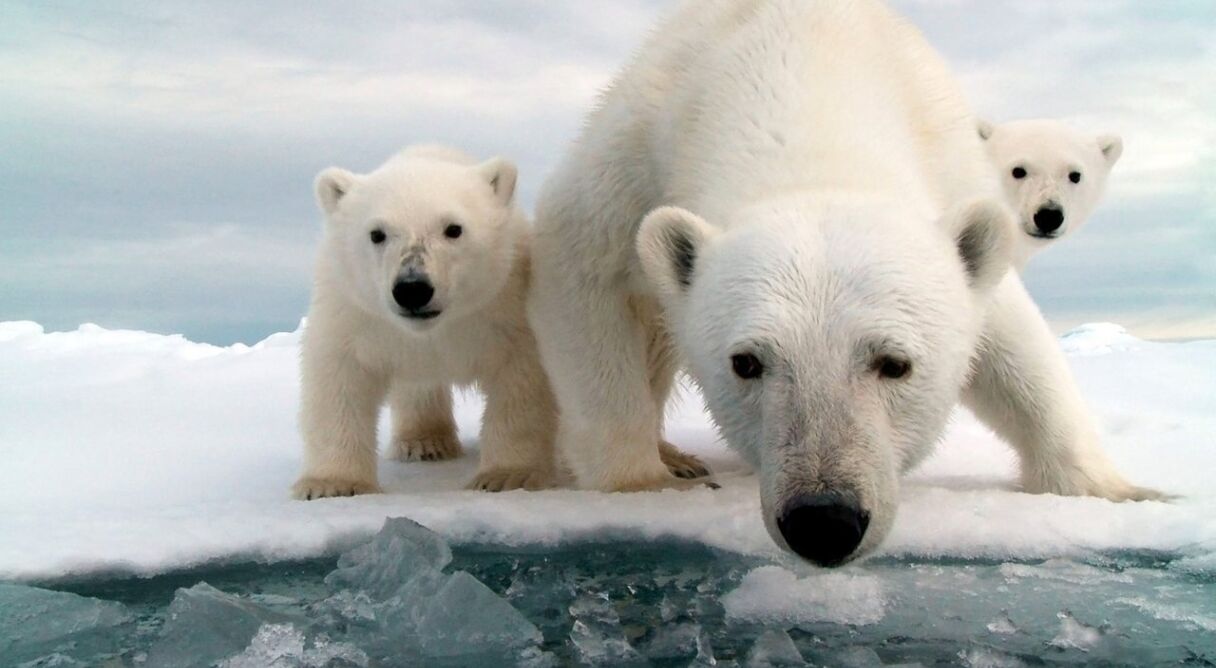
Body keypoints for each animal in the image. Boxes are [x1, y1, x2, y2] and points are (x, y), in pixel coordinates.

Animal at [292, 145, 557, 500]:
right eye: (377, 233)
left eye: (454, 228)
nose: (412, 288)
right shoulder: (356, 314)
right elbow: (339, 379)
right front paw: (331, 484)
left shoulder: (504, 308)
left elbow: (521, 379)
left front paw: (507, 476)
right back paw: (425, 443)